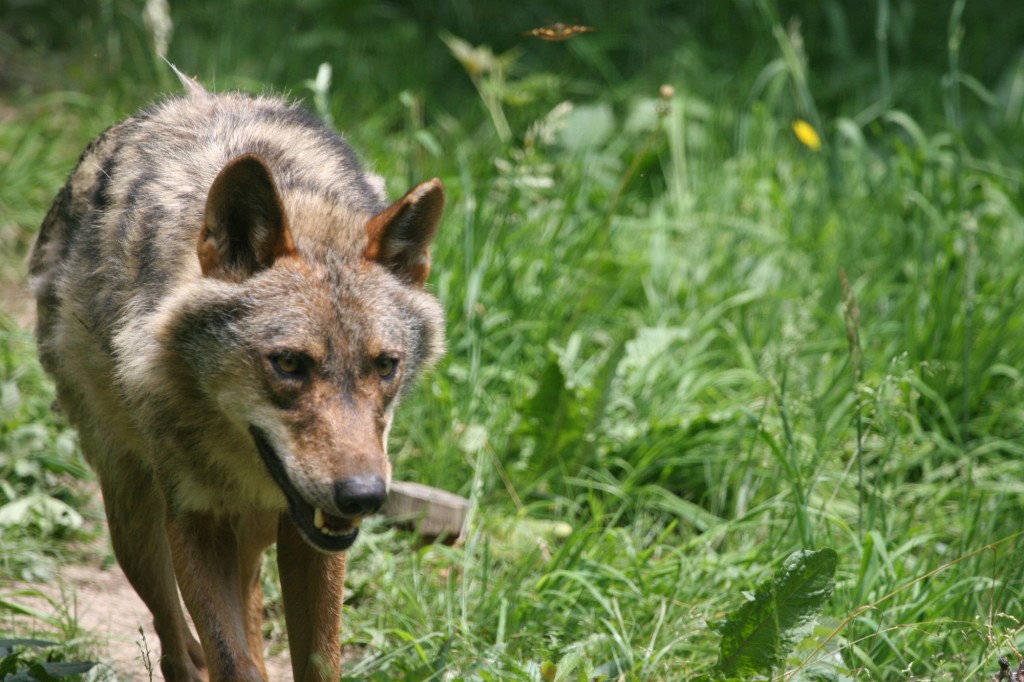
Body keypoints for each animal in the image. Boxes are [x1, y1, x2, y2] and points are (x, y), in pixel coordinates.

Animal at [27, 70, 444, 679]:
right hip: (135, 520)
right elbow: (230, 660)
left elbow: (316, 661)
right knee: (173, 641)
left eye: (386, 365)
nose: (364, 496)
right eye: (289, 363)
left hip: (247, 536)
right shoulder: (195, 521)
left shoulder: (310, 540)